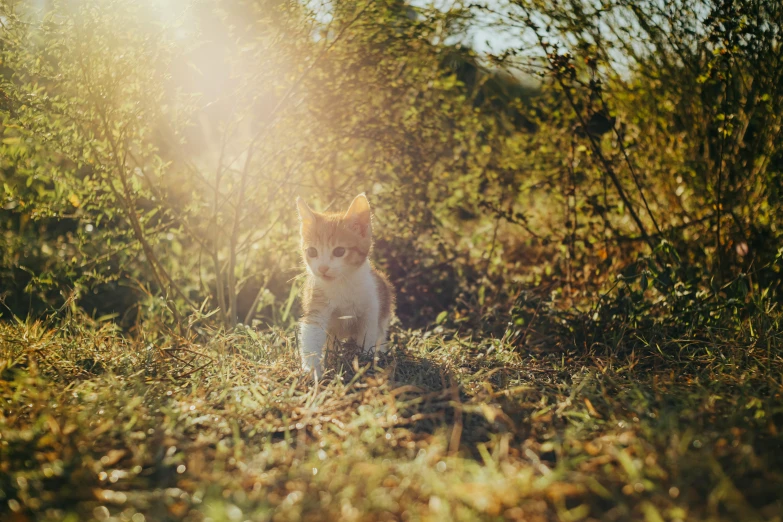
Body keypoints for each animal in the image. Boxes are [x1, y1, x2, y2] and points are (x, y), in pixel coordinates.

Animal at [298, 193, 398, 376]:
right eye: (312, 252)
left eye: (339, 251)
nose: (322, 268)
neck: (341, 283)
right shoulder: (316, 306)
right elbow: (312, 334)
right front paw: (312, 370)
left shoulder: (370, 308)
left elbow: (367, 335)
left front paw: (365, 360)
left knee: (380, 333)